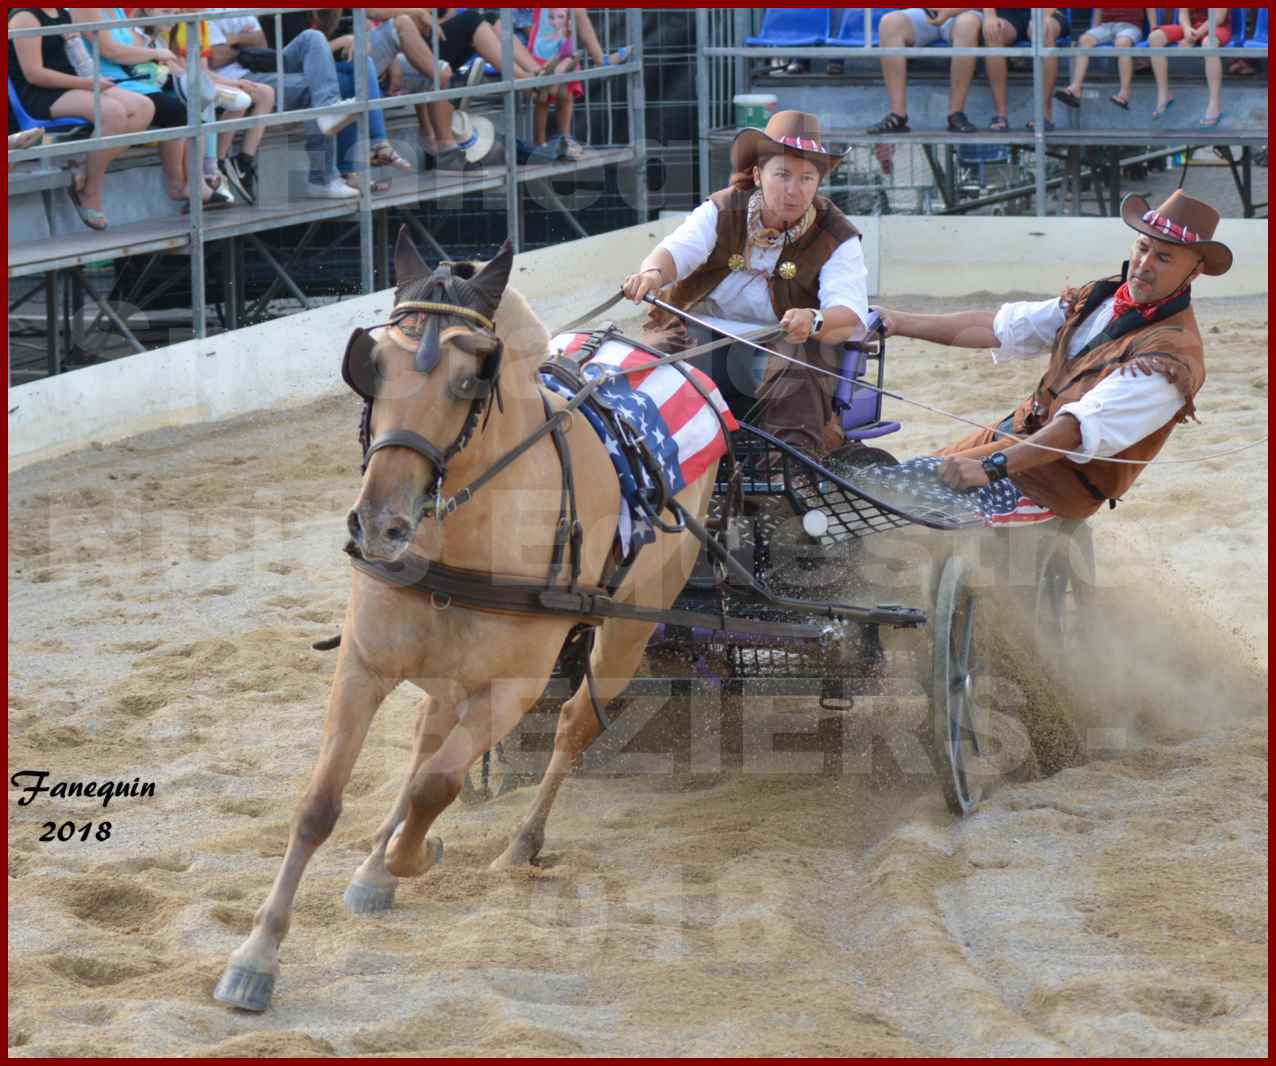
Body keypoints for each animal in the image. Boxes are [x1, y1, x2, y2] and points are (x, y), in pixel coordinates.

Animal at [214, 229, 724, 1011]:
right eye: (374, 365)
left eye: (468, 379)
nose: (380, 525)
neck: (463, 528)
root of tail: (680, 369)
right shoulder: (363, 665)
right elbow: (320, 804)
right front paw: (258, 954)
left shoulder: (510, 690)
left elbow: (437, 787)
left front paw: (414, 854)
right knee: (430, 733)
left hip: (627, 631)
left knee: (572, 725)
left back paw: (517, 844)